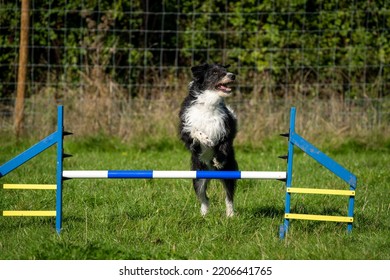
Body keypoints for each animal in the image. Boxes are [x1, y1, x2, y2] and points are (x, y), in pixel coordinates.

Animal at [179, 63, 238, 217]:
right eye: (215, 72)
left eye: (225, 70)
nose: (232, 75)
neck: (209, 102)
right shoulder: (186, 133)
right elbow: (194, 130)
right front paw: (206, 139)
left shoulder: (226, 126)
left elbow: (224, 144)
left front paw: (219, 159)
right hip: (198, 177)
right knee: (204, 198)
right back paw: (204, 215)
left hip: (228, 174)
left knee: (229, 196)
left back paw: (230, 215)